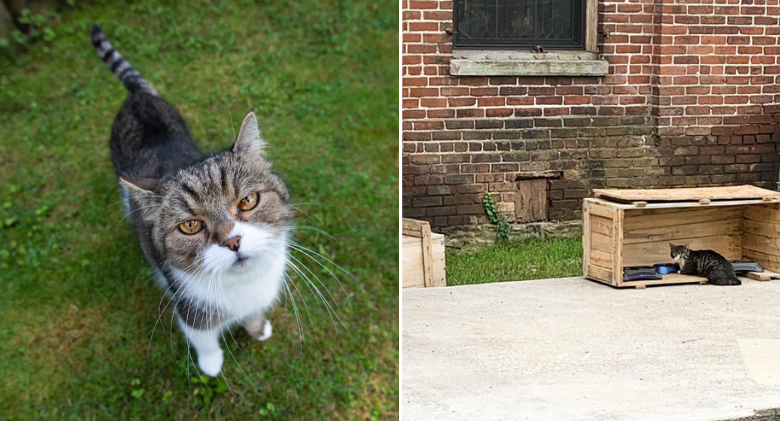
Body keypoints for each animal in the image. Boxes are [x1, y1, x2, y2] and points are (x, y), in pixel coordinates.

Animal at [92, 24, 292, 376]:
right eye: (190, 226)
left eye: (248, 201)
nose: (233, 241)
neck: (243, 286)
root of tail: (137, 96)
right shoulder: (190, 308)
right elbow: (203, 337)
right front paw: (211, 365)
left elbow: (255, 314)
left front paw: (257, 329)